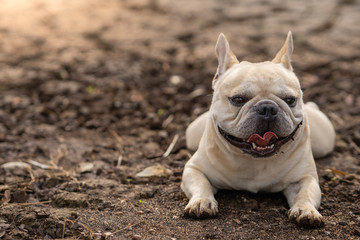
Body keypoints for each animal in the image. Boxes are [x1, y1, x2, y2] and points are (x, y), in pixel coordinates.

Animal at [181, 31, 336, 227]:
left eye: (290, 100)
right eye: (238, 99)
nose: (267, 108)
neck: (254, 160)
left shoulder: (304, 179)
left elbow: (306, 194)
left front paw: (306, 210)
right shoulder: (194, 169)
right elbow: (200, 184)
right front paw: (202, 202)